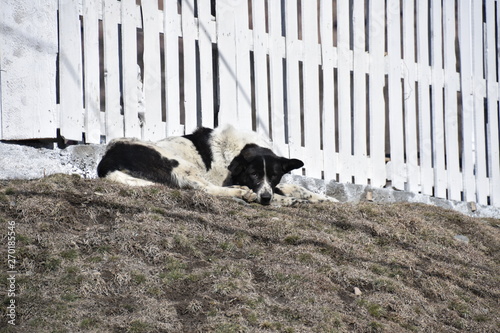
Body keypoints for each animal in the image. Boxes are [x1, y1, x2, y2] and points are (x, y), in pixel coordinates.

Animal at [97, 125, 336, 205]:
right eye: (252, 174)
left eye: (275, 174)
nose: (266, 198)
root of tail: (106, 161)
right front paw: (287, 199)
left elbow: (296, 187)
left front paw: (328, 199)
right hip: (179, 165)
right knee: (205, 190)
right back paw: (242, 193)